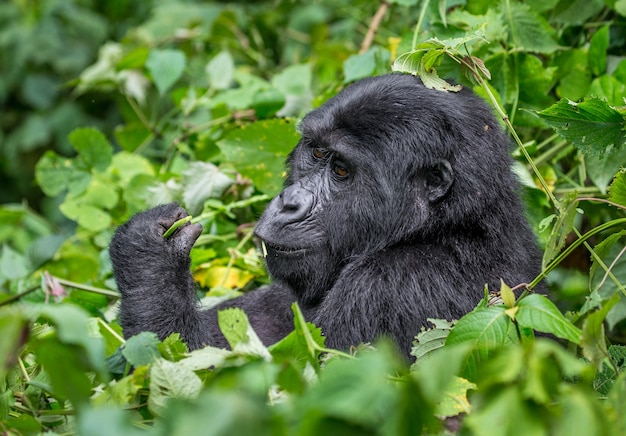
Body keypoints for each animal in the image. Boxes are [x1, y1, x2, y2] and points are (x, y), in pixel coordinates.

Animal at [108, 73, 540, 356]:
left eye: (342, 171)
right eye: (316, 153)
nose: (289, 203)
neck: (449, 225)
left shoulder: (392, 285)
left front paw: (149, 258)